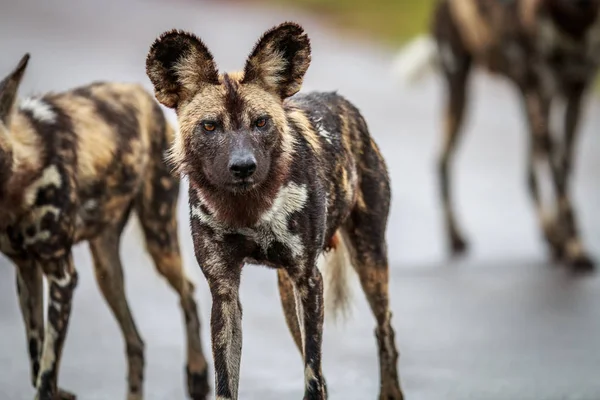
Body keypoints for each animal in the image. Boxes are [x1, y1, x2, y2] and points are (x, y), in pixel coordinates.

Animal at [0, 54, 211, 398]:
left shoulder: (62, 277)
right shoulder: (26, 270)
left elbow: (45, 373)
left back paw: (198, 374)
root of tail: (141, 92)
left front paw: (53, 388)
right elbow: (37, 361)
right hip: (106, 270)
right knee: (136, 342)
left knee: (189, 292)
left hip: (159, 239)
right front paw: (60, 391)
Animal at [148, 21, 406, 400]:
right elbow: (227, 382)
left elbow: (311, 376)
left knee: (383, 330)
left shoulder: (309, 280)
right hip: (289, 292)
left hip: (369, 259)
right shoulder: (224, 291)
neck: (249, 209)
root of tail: (344, 103)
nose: (243, 167)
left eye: (260, 122)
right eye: (210, 126)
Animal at [392, 0, 600, 272]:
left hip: (527, 103)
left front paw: (566, 243)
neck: (574, 17)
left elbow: (565, 173)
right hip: (462, 94)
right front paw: (576, 250)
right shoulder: (544, 98)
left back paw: (550, 235)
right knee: (442, 162)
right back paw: (454, 236)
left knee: (529, 173)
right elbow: (562, 186)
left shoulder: (576, 95)